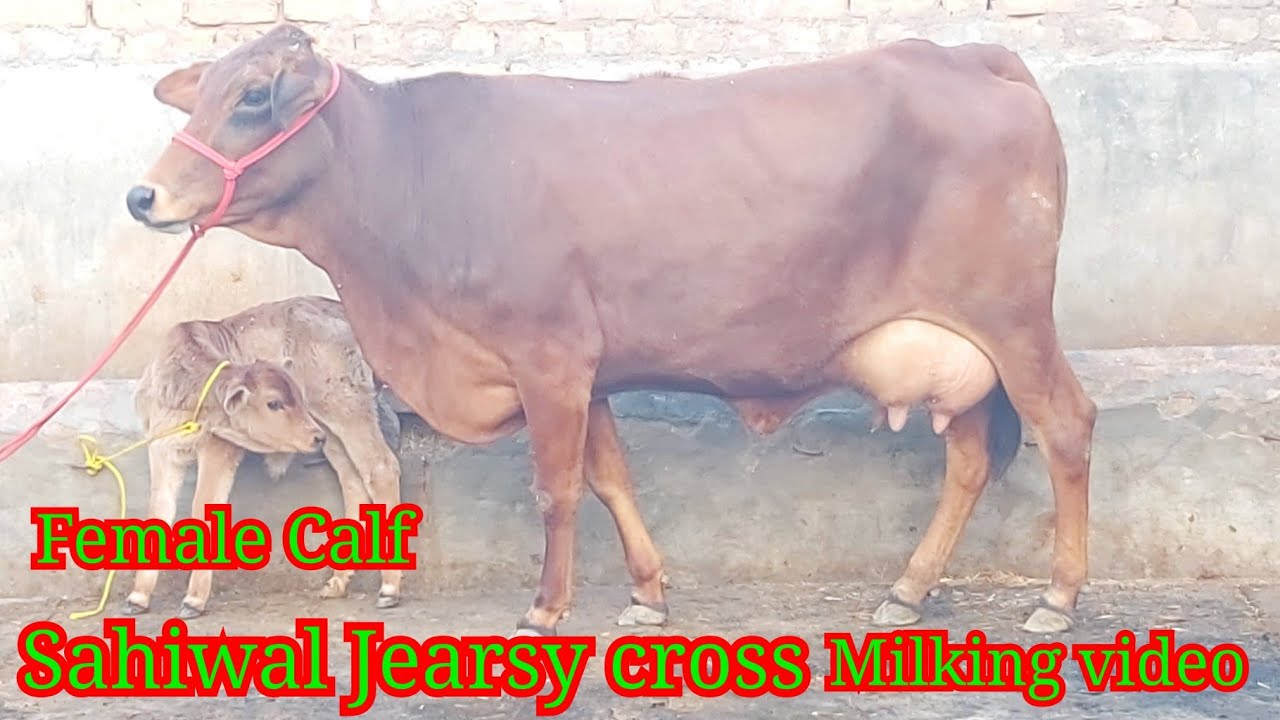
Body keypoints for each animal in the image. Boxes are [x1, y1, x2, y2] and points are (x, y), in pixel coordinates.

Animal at [126, 294, 405, 619]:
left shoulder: (220, 447)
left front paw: (193, 599)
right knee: (352, 480)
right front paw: (138, 596)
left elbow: (202, 508)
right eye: (274, 402)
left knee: (380, 467)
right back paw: (338, 581)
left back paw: (389, 588)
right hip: (330, 429)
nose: (314, 437)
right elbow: (158, 509)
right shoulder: (160, 447)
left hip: (346, 404)